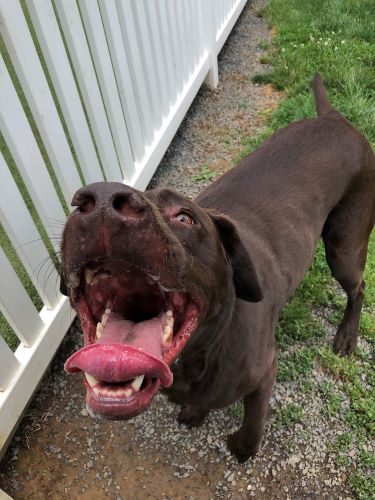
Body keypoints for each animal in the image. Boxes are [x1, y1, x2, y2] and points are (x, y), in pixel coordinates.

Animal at [60, 76, 374, 462]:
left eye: (184, 217)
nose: (101, 201)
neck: (201, 353)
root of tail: (335, 119)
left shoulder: (265, 372)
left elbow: (254, 421)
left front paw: (243, 447)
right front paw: (196, 411)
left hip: (344, 248)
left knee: (359, 287)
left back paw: (346, 336)